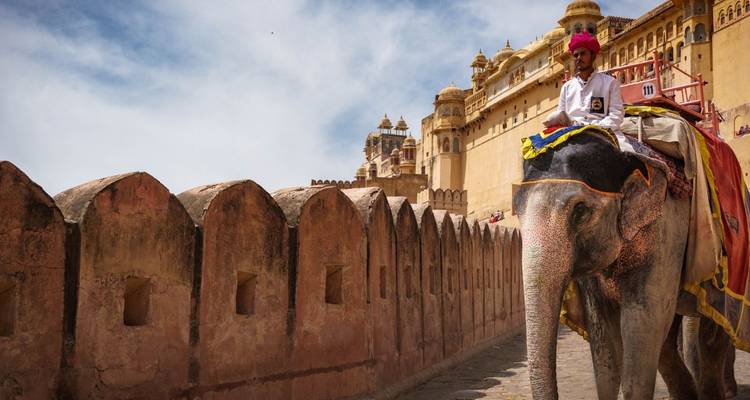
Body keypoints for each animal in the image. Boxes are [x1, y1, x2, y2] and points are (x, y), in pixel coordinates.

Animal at [513, 130, 735, 399]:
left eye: (580, 210)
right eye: (517, 211)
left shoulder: (667, 230)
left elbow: (642, 320)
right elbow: (604, 338)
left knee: (713, 331)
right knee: (669, 343)